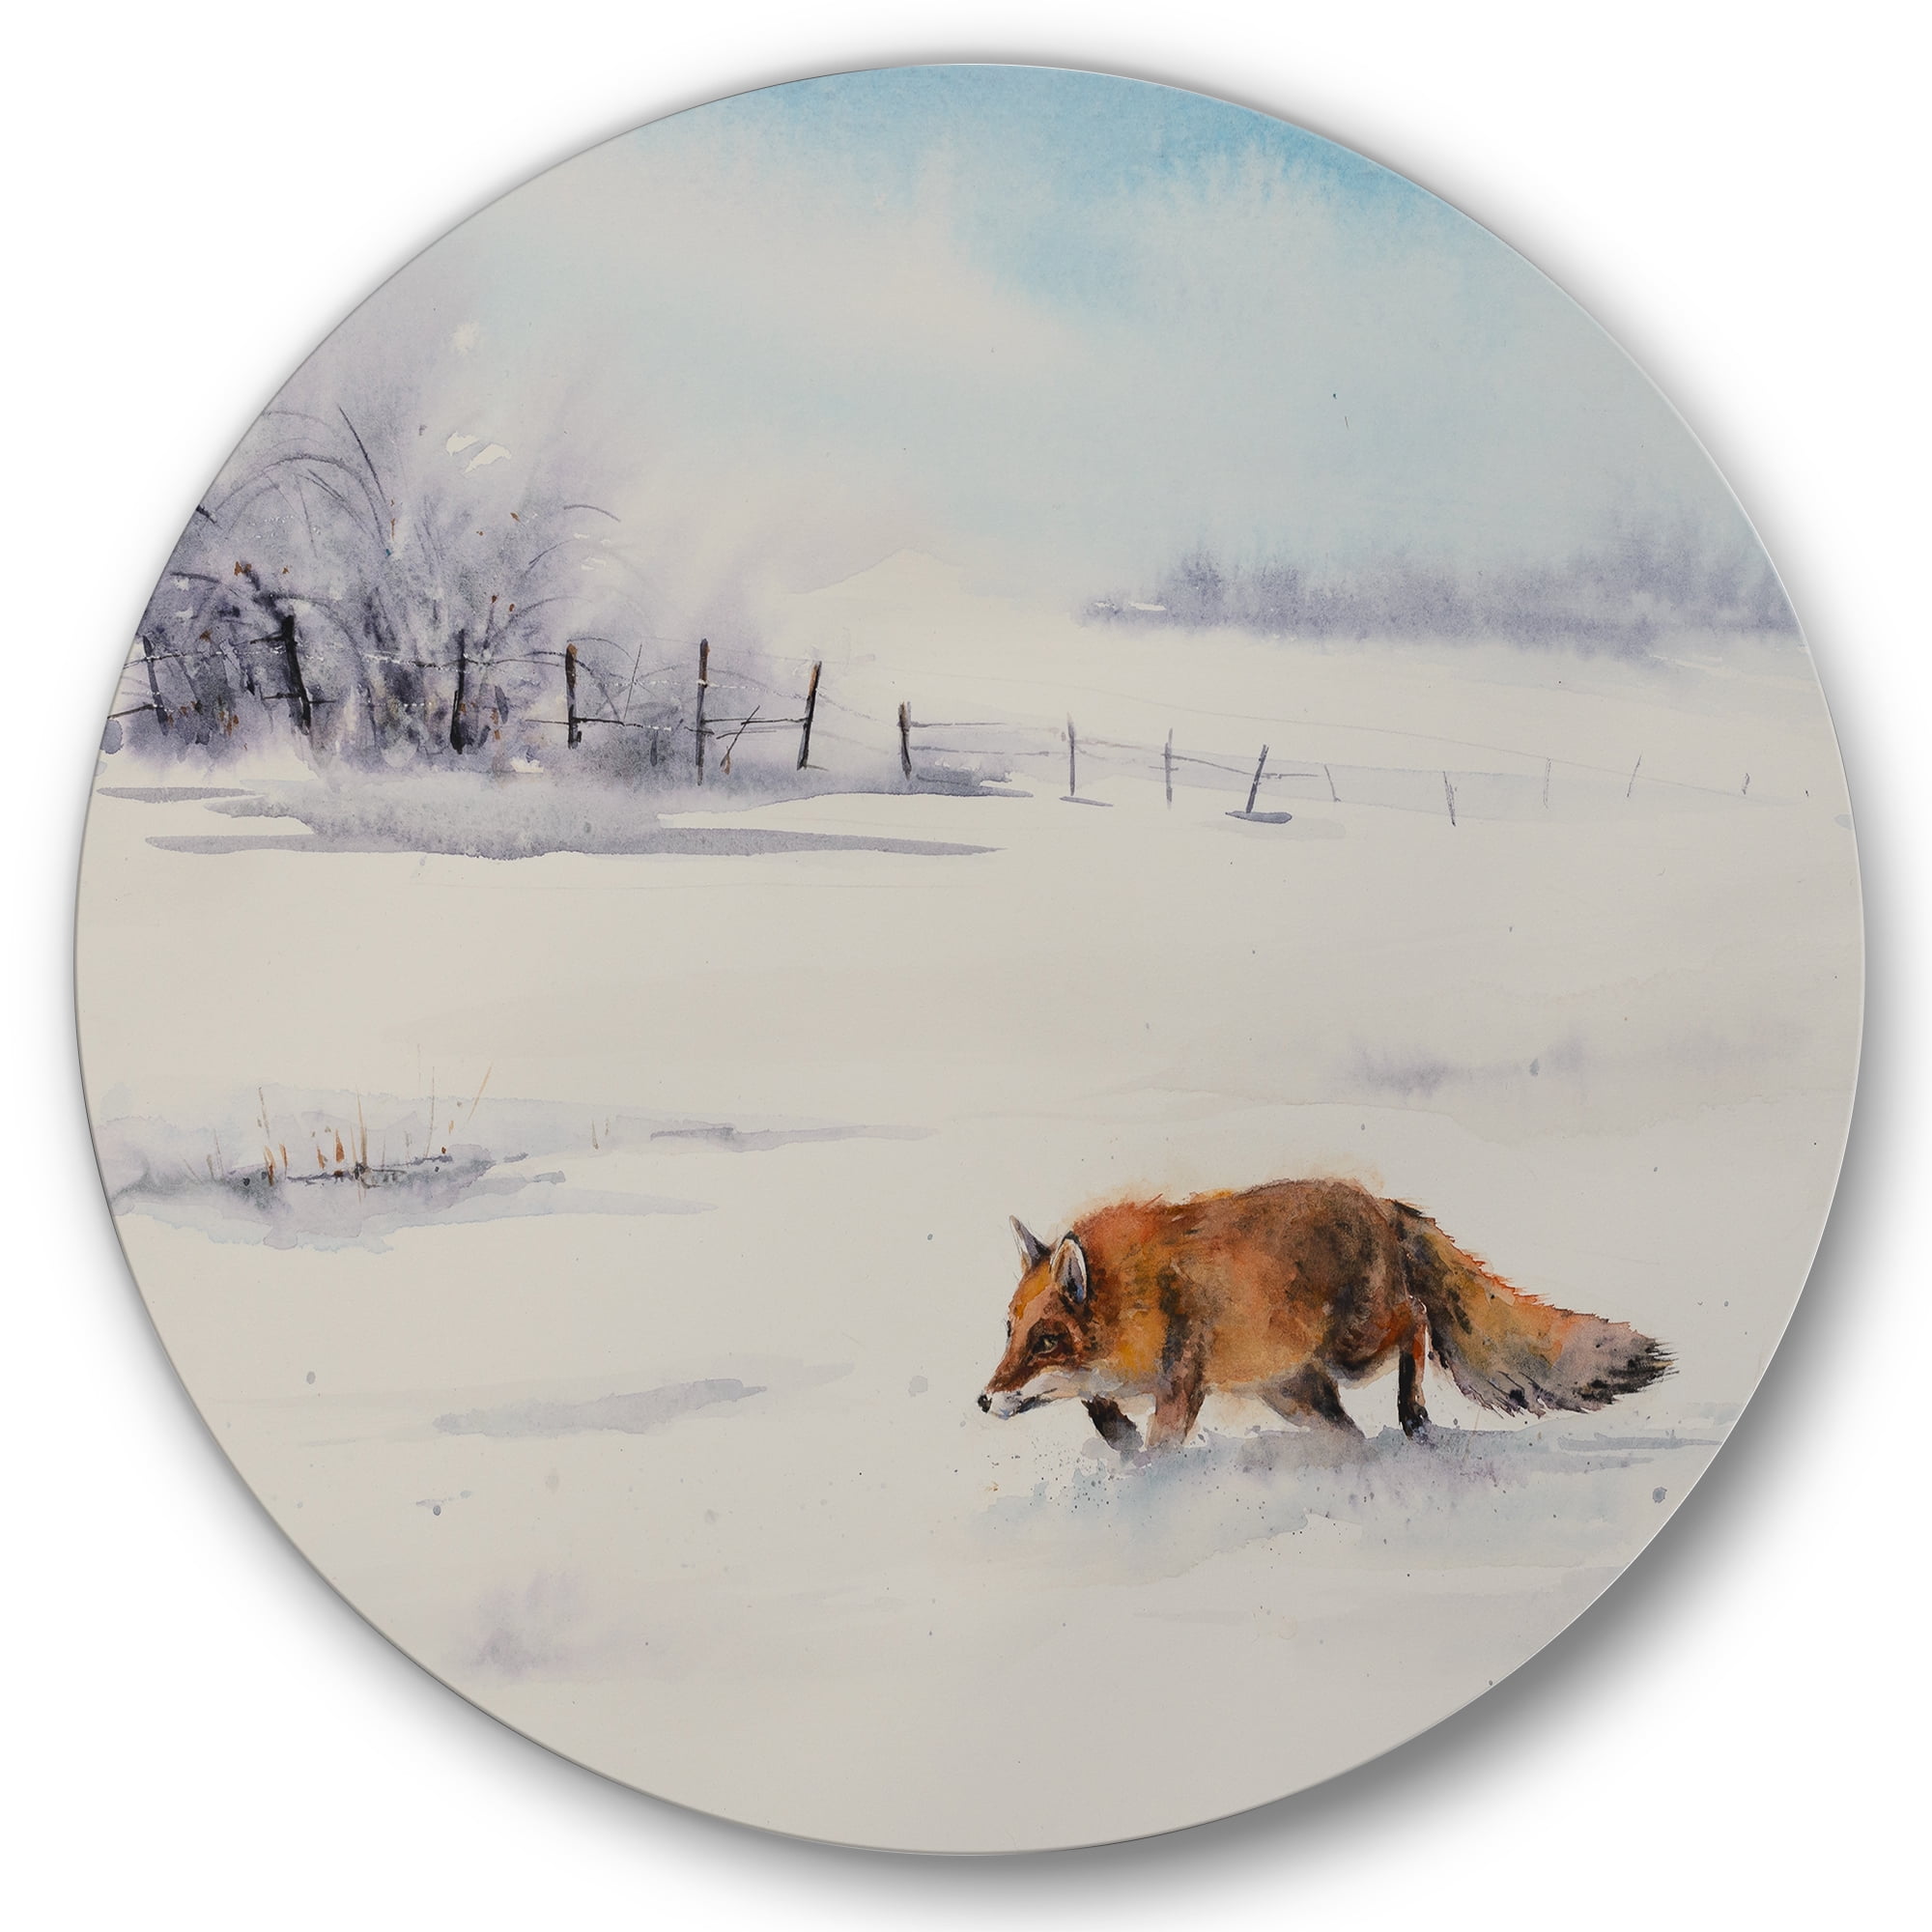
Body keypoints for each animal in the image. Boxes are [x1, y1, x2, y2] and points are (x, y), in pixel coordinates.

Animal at [977, 1178, 1670, 1454]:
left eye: (1046, 1341)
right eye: (1010, 1333)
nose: (983, 1400)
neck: (1139, 1297)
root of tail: (1385, 1204)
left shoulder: (1181, 1380)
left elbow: (1159, 1446)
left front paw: (1145, 1486)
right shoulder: (1118, 1380)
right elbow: (1101, 1415)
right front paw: (1119, 1444)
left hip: (1354, 1350)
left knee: (1417, 1320)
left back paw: (1414, 1416)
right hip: (1295, 1390)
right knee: (1349, 1431)